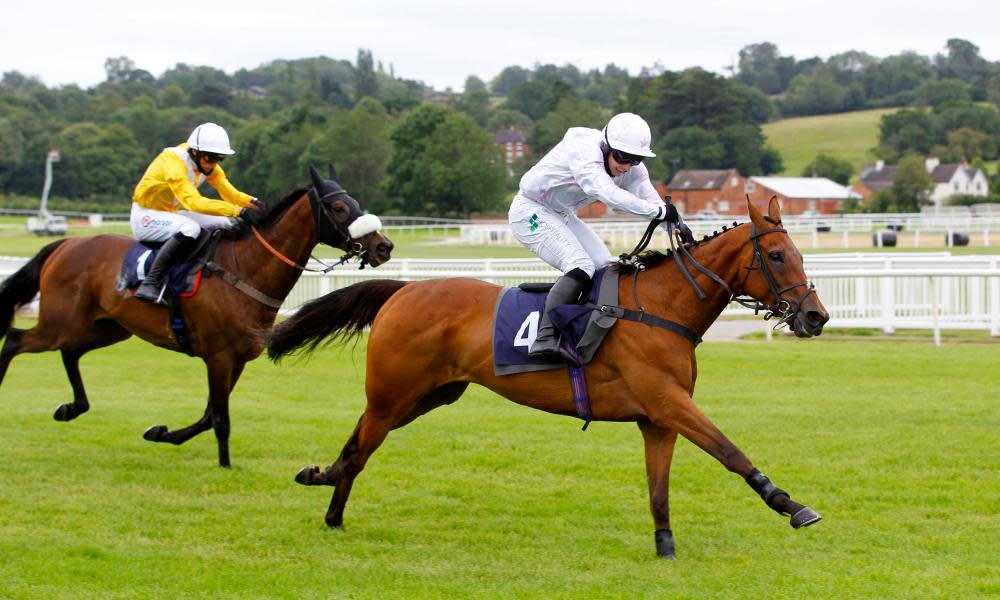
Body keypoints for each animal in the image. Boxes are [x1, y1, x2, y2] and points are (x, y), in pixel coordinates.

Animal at [0, 165, 394, 468]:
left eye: (356, 203)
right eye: (340, 207)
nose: (383, 246)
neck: (244, 270)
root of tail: (66, 244)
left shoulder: (237, 359)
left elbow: (207, 415)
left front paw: (162, 433)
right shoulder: (218, 357)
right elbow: (219, 419)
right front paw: (225, 464)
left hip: (108, 328)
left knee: (70, 352)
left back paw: (72, 408)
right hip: (61, 323)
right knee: (17, 340)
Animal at [266, 197, 828, 556]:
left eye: (801, 253)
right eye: (775, 255)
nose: (815, 316)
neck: (661, 307)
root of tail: (403, 289)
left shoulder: (657, 419)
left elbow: (659, 488)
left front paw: (665, 546)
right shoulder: (669, 403)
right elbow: (730, 451)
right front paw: (791, 504)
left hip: (428, 396)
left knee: (358, 441)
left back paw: (325, 486)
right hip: (394, 394)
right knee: (362, 445)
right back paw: (331, 498)